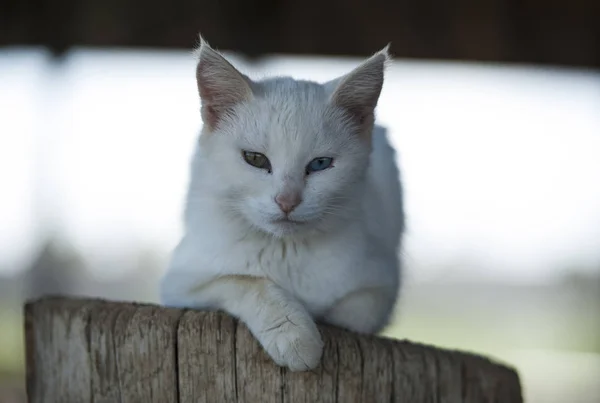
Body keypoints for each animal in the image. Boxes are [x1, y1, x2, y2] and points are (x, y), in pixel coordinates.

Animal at [159, 38, 404, 372]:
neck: (287, 249)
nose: (287, 200)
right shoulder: (182, 283)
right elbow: (246, 282)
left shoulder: (380, 284)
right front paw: (294, 334)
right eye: (255, 159)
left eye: (320, 164)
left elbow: (353, 313)